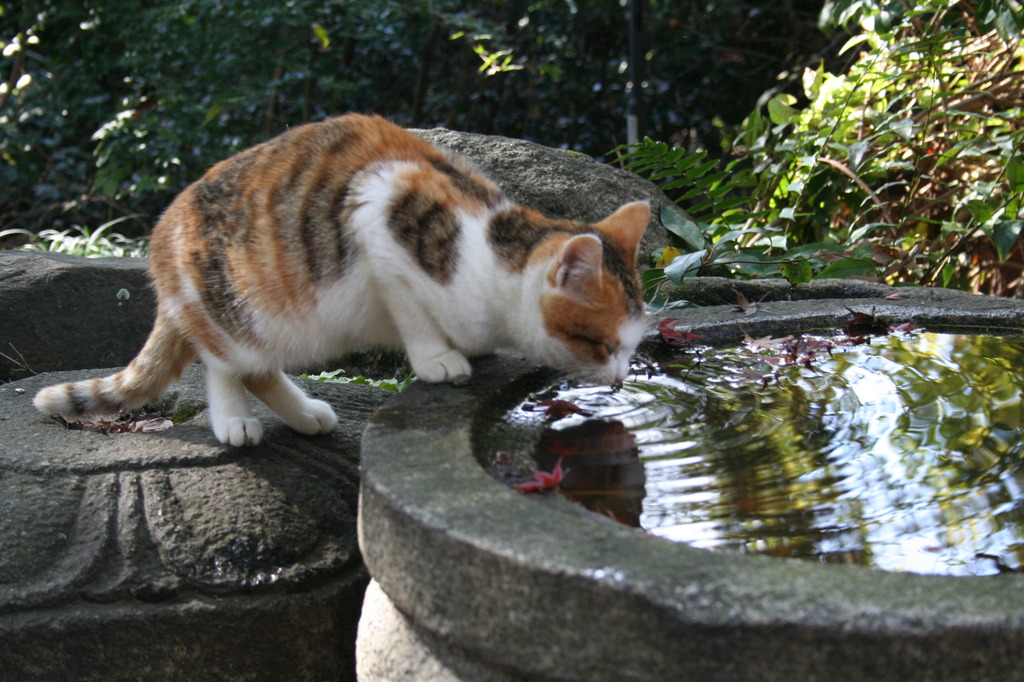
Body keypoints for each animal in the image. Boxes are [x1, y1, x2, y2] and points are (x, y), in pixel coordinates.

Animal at [34, 113, 647, 446]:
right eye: (601, 344)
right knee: (224, 364)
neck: (494, 252)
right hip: (234, 307)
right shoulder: (379, 221)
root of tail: (160, 235)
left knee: (259, 370)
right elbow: (413, 312)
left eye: (631, 346)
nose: (620, 380)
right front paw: (438, 359)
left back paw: (307, 415)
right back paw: (234, 420)